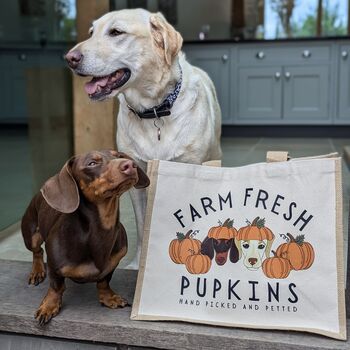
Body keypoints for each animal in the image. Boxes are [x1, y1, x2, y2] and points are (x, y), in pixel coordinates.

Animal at [20, 150, 149, 326]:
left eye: (118, 155)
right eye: (92, 163)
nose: (130, 165)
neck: (100, 229)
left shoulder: (113, 263)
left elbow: (104, 281)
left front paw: (108, 298)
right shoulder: (54, 267)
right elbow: (56, 287)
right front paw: (48, 306)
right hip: (31, 235)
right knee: (37, 251)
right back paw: (37, 271)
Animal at [65, 8, 221, 268]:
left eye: (116, 32)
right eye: (91, 32)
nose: (69, 58)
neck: (154, 110)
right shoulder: (136, 179)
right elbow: (141, 225)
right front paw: (139, 264)